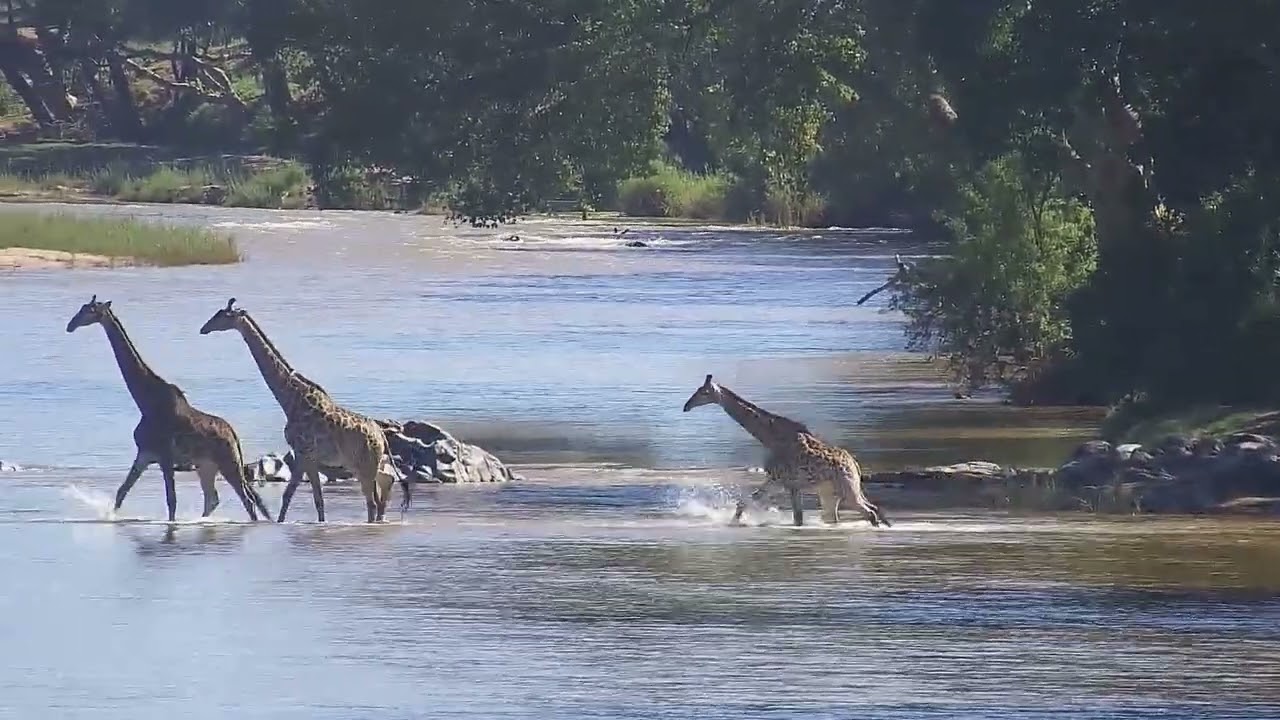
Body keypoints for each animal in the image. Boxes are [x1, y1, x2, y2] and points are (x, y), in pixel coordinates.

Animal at [65, 296, 273, 522]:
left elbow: (171, 501)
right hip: (207, 466)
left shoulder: (165, 456)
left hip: (228, 463)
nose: (70, 325)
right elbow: (122, 492)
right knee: (214, 498)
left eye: (90, 311)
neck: (146, 402)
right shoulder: (145, 454)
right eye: (82, 308)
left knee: (247, 500)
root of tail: (234, 435)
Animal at [199, 298, 410, 523]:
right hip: (366, 464)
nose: (204, 329)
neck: (290, 401)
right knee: (382, 489)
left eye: (222, 315)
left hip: (365, 466)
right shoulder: (306, 458)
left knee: (373, 501)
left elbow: (299, 496)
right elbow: (309, 499)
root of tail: (381, 436)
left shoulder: (303, 455)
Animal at [681, 374, 891, 528]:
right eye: (698, 391)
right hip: (831, 493)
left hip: (847, 490)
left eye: (703, 392)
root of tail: (855, 466)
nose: (686, 406)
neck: (770, 438)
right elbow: (747, 503)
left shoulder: (785, 481)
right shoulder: (782, 482)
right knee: (853, 513)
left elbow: (796, 518)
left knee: (870, 512)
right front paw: (733, 523)